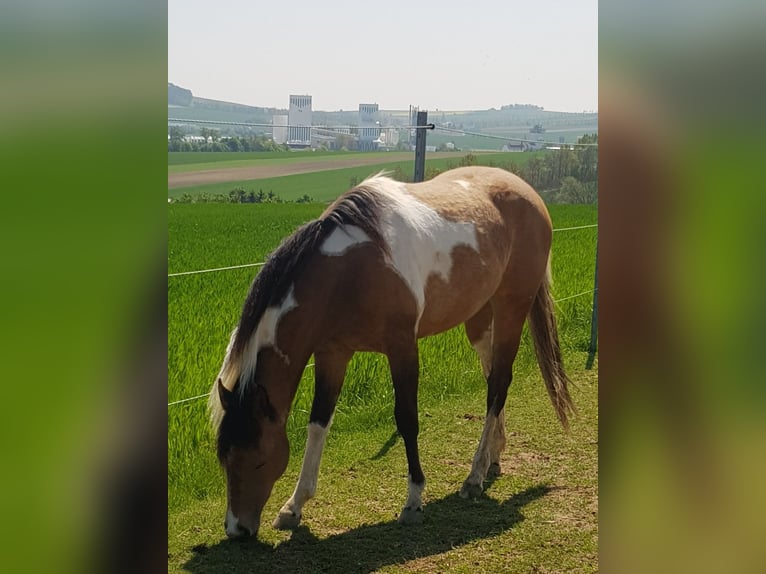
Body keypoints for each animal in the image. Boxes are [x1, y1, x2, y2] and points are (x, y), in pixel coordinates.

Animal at [208, 166, 575, 538]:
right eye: (224, 459)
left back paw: (473, 476)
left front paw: (413, 500)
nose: (237, 529)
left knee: (499, 383)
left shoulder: (402, 348)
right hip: (480, 319)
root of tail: (530, 194)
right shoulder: (332, 354)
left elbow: (407, 419)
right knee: (493, 379)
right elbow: (318, 423)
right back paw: (492, 457)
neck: (350, 271)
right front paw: (293, 507)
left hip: (512, 308)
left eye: (258, 459)